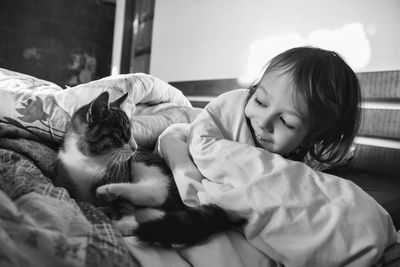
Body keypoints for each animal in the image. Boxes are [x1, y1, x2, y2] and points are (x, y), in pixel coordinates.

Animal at [55, 91, 244, 247]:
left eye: (131, 132)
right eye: (119, 134)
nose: (135, 147)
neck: (91, 161)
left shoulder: (122, 170)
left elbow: (125, 203)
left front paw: (125, 222)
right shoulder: (66, 178)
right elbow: (74, 195)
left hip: (144, 165)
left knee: (155, 193)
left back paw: (109, 192)